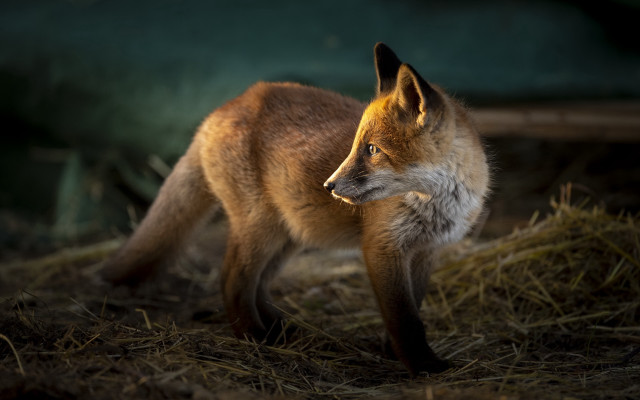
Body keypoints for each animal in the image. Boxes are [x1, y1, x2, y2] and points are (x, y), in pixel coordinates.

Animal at [101, 43, 489, 376]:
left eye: (372, 150)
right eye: (357, 146)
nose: (329, 186)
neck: (439, 202)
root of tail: (222, 108)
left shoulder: (425, 251)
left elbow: (413, 308)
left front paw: (394, 352)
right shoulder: (383, 247)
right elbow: (403, 318)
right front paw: (422, 366)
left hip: (289, 235)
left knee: (258, 284)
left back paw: (279, 329)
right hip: (261, 228)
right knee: (232, 279)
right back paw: (254, 336)